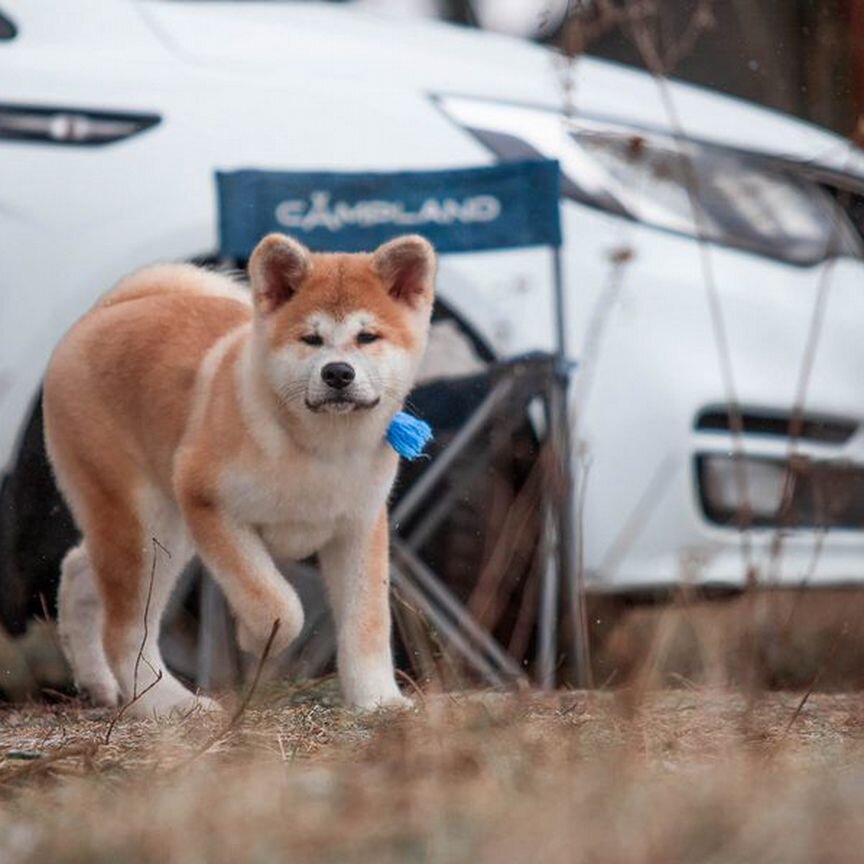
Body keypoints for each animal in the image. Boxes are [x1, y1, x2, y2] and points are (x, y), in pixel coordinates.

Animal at [44, 230, 436, 716]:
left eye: (368, 337)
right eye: (311, 338)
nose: (337, 373)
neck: (318, 450)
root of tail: (104, 310)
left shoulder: (358, 528)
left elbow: (367, 625)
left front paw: (378, 700)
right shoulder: (207, 502)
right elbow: (278, 604)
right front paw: (252, 636)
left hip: (158, 533)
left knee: (80, 569)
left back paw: (97, 682)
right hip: (152, 528)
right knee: (126, 631)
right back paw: (168, 705)